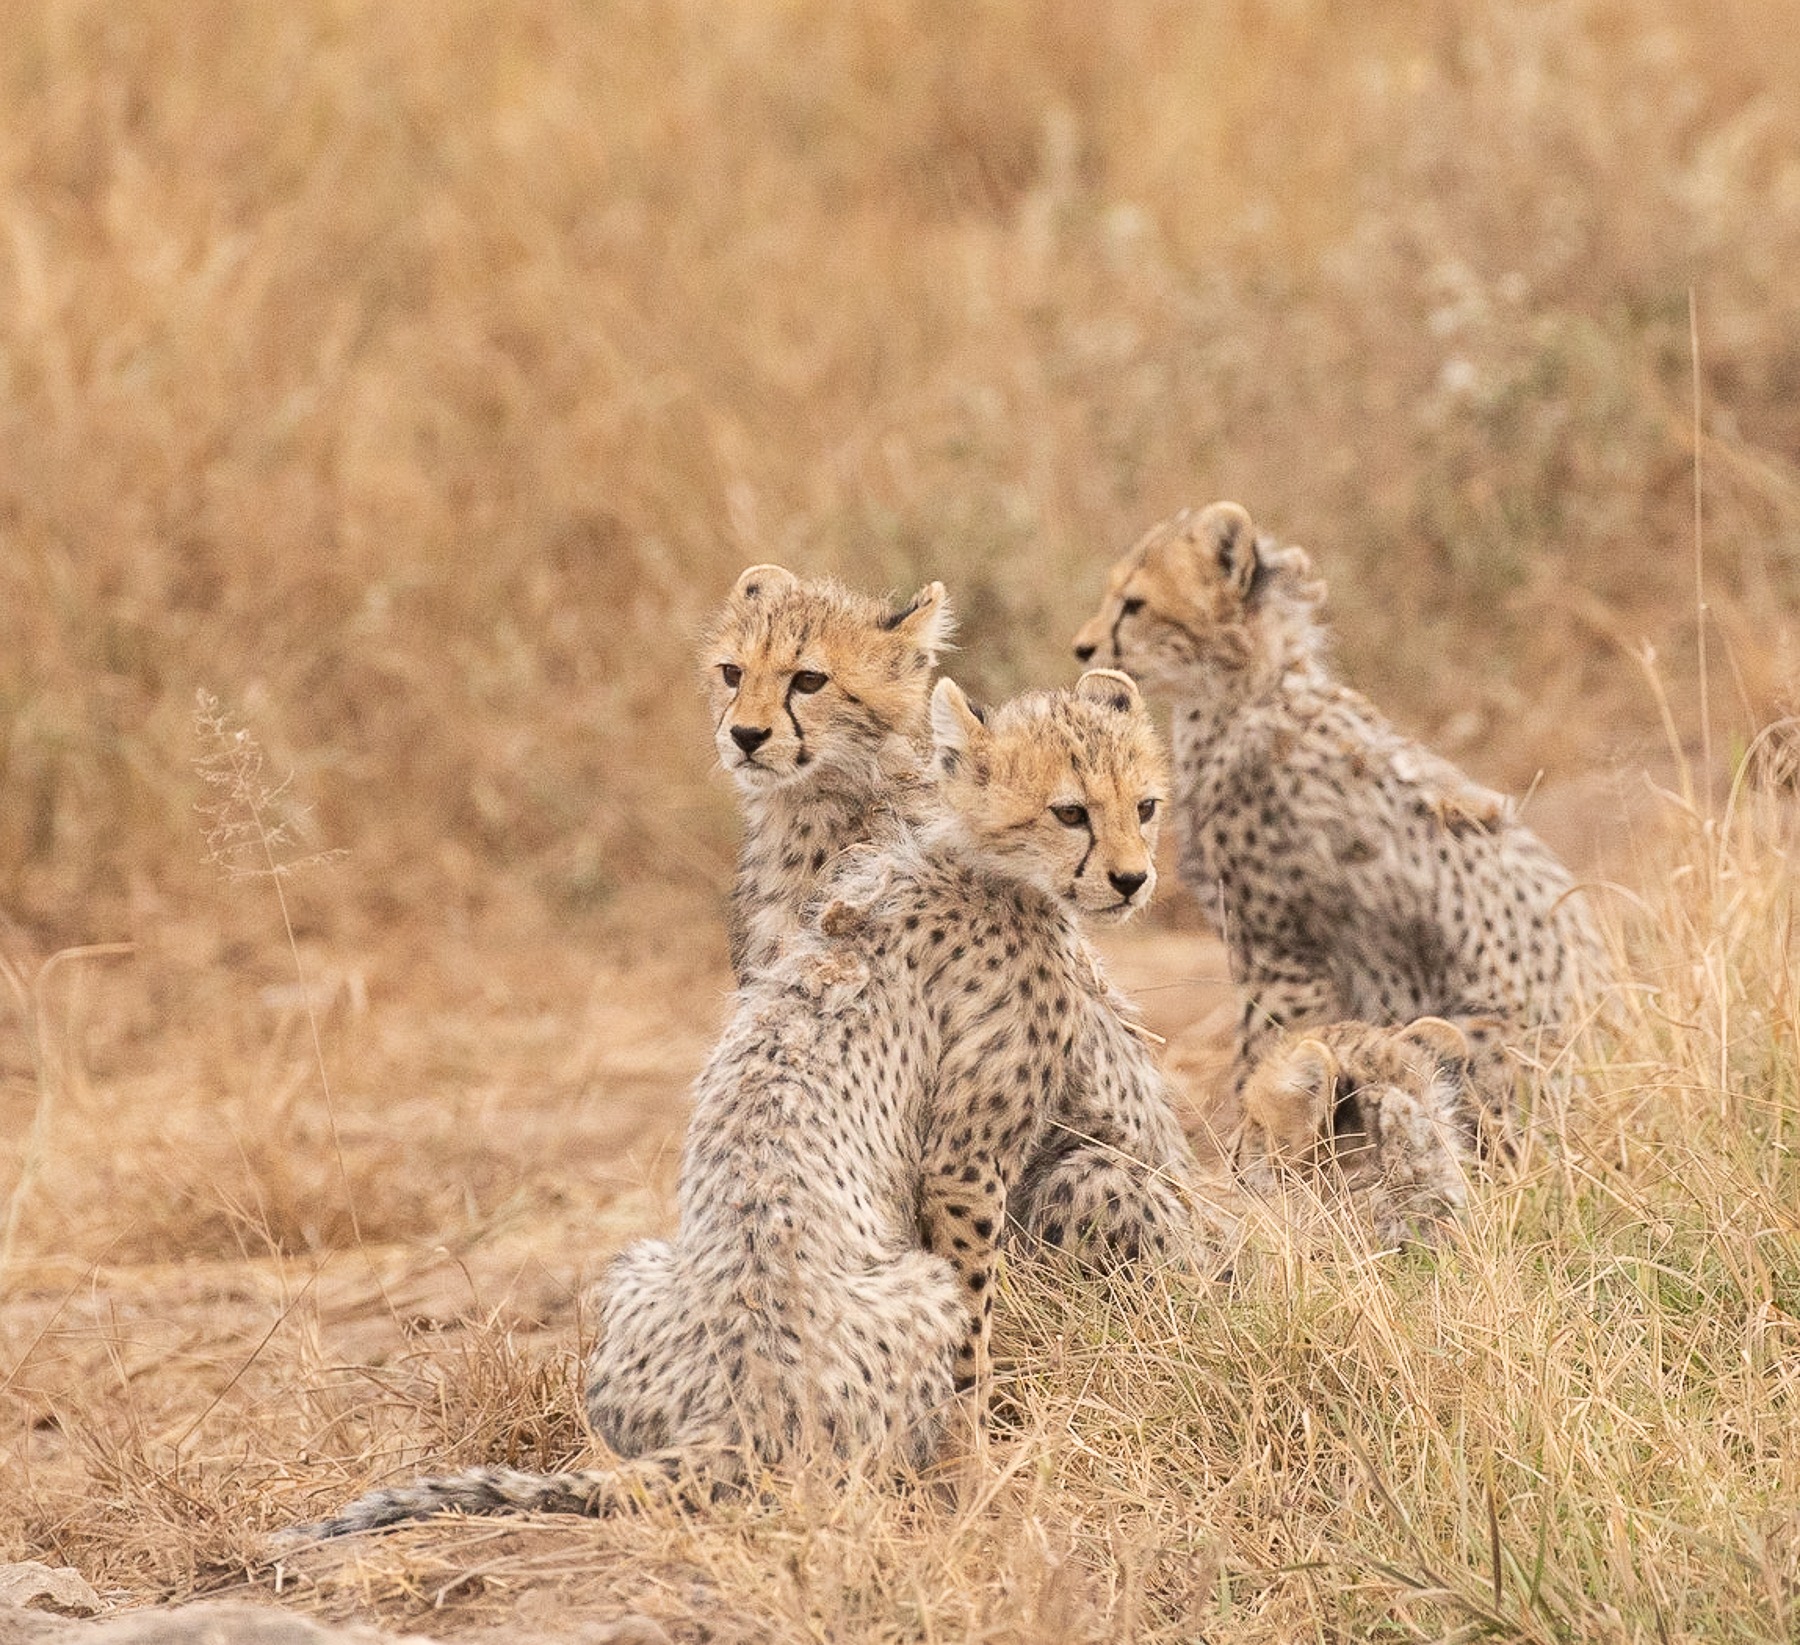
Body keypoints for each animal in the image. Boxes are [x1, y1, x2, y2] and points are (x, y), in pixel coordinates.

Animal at [292, 671, 1193, 1538]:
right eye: (1071, 811)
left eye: (1145, 805)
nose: (1132, 878)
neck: (970, 855)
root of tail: (738, 1412)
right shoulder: (964, 1168)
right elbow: (978, 1324)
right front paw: (970, 1466)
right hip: (920, 1287)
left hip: (637, 1267)